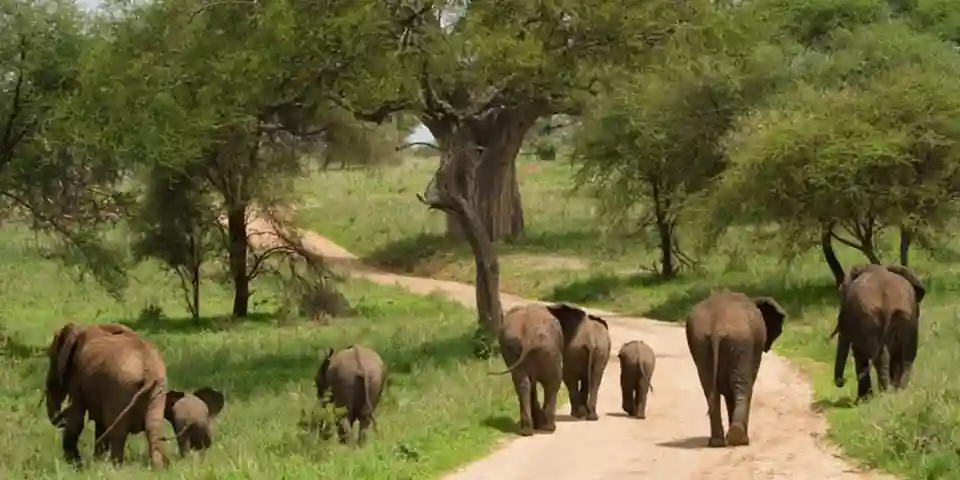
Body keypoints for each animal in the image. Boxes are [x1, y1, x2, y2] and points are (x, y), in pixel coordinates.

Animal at [44, 322, 169, 468]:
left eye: (51, 357)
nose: (61, 422)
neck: (80, 329)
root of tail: (149, 371)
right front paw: (94, 461)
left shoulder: (77, 376)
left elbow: (77, 418)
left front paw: (75, 464)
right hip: (158, 390)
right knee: (153, 429)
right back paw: (156, 468)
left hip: (120, 386)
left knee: (117, 431)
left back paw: (115, 467)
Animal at [685, 290, 787, 448]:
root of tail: (717, 326)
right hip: (740, 340)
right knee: (743, 386)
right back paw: (741, 440)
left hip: (700, 342)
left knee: (709, 389)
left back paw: (717, 442)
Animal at [833, 264, 925, 401]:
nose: (843, 381)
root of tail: (888, 304)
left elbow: (859, 353)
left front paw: (863, 400)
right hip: (904, 317)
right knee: (906, 355)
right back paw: (898, 392)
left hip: (871, 317)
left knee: (883, 357)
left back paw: (885, 394)